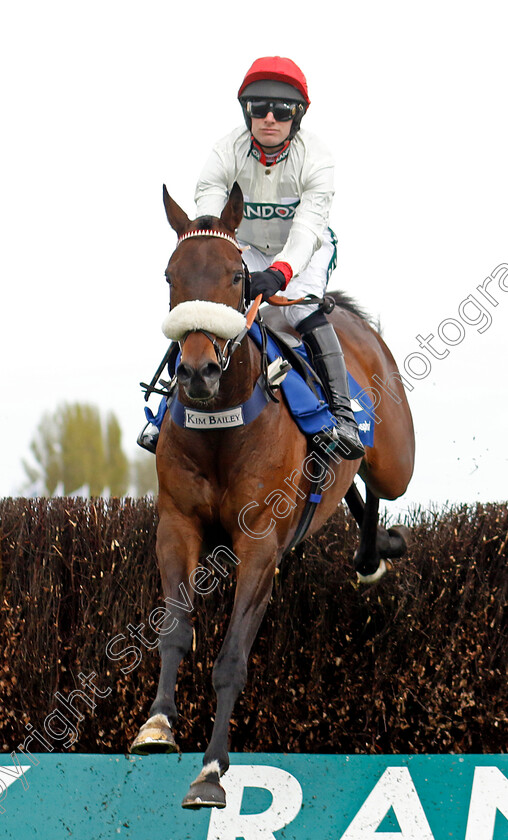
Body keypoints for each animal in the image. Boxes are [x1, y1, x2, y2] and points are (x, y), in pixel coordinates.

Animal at [129, 182, 414, 808]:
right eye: (169, 275)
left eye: (237, 275)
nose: (198, 373)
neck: (222, 425)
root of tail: (349, 317)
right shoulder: (177, 525)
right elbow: (174, 631)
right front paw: (157, 724)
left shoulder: (258, 542)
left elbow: (233, 655)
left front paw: (211, 771)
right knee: (349, 489)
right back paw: (368, 552)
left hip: (396, 461)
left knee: (374, 480)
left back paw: (373, 552)